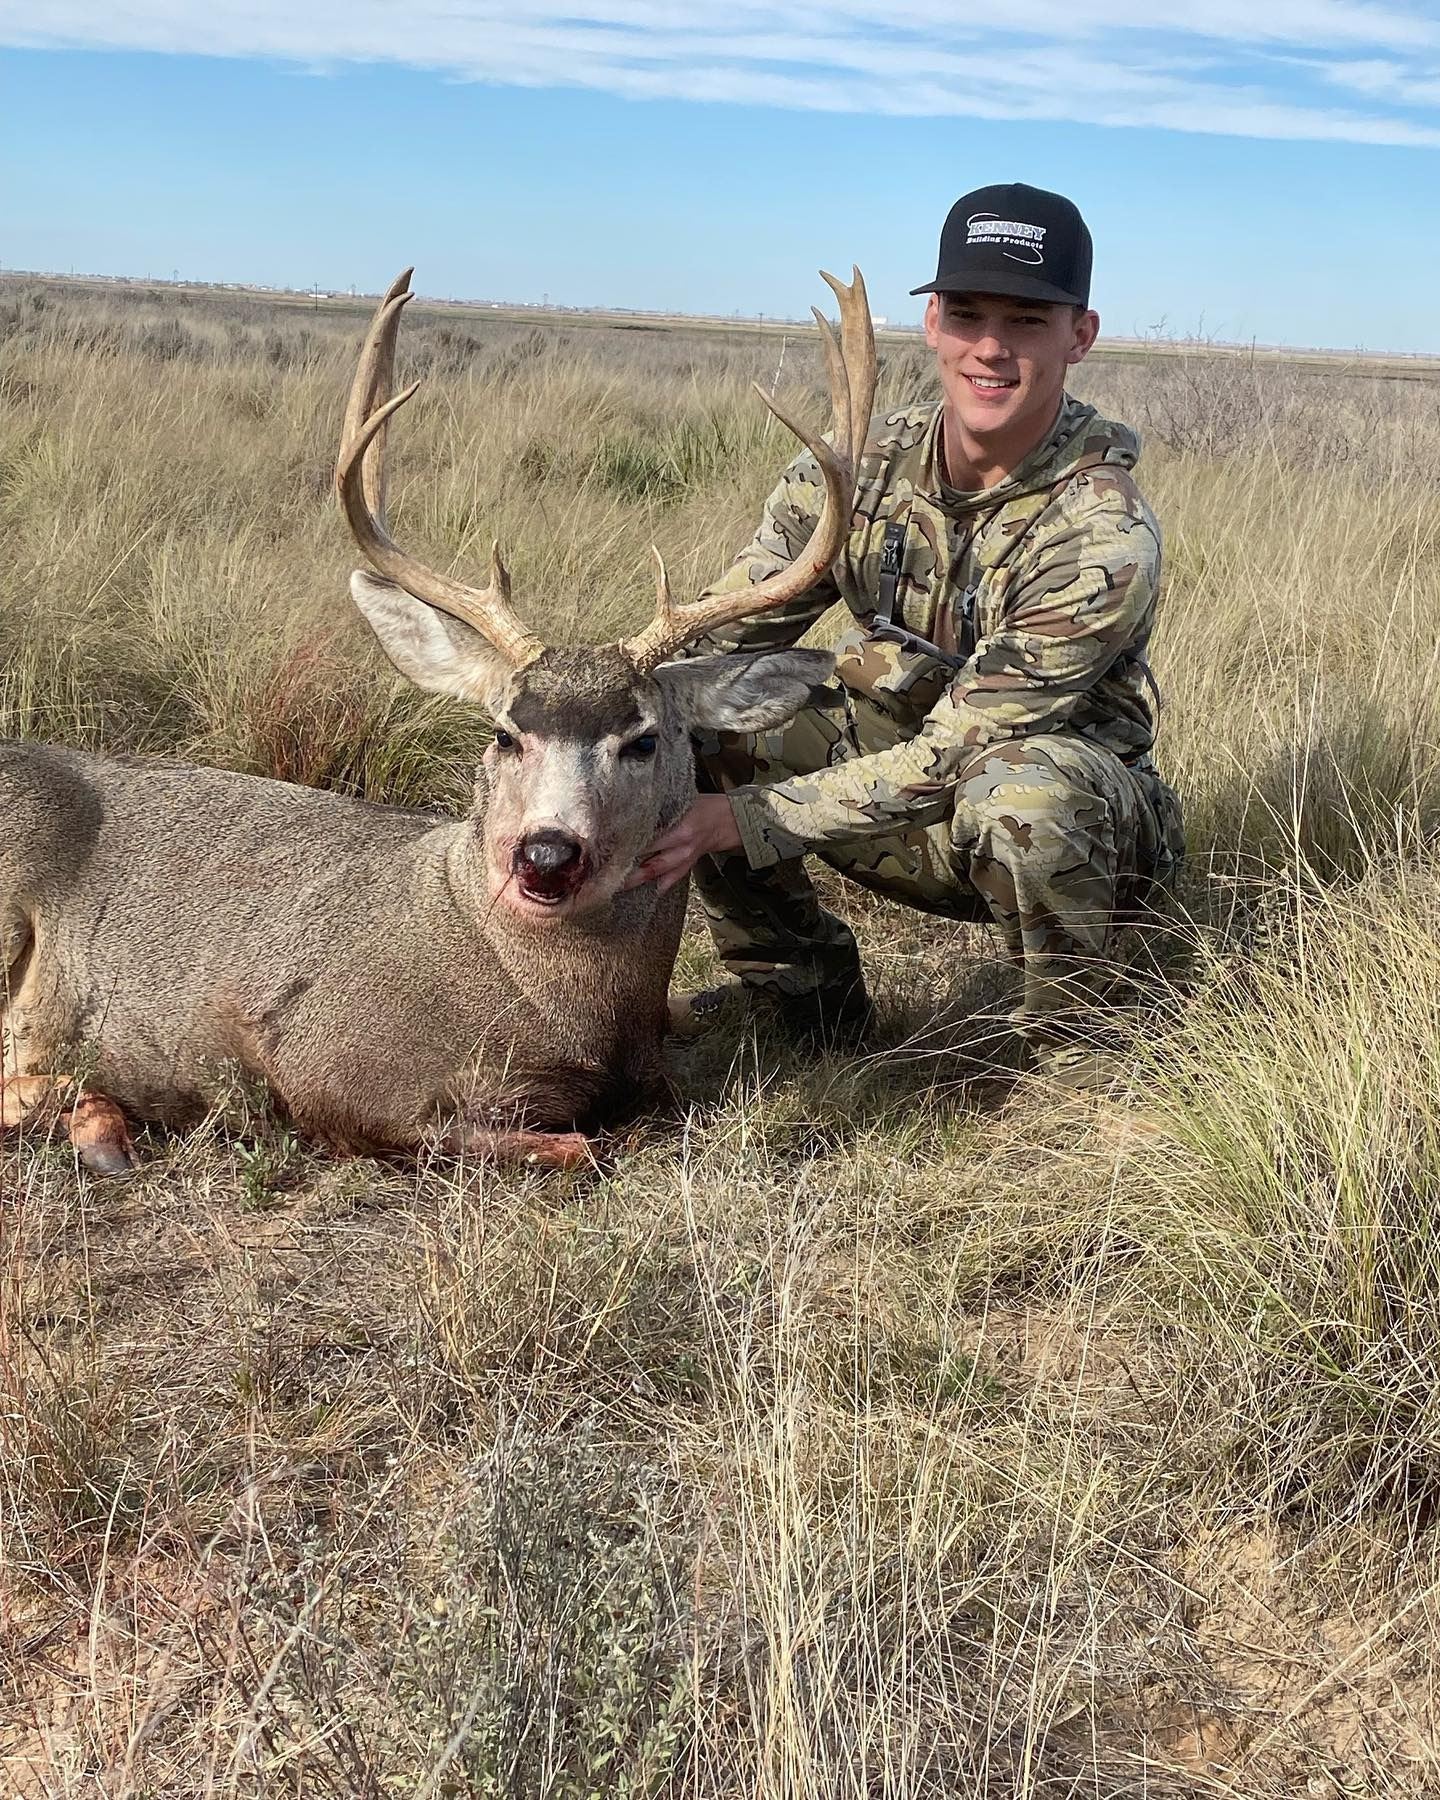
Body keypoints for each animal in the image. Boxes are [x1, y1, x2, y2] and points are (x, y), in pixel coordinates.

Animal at [0, 266, 876, 1177]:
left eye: (643, 739)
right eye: (504, 732)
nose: (546, 854)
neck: (575, 1017)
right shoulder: (329, 1070)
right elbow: (570, 1144)